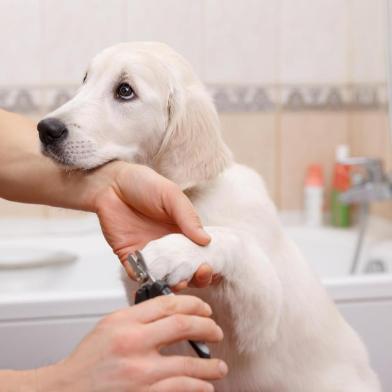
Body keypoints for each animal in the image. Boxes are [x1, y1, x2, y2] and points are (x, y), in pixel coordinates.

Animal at [38, 43, 382, 392]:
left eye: (125, 91)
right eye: (85, 79)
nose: (45, 129)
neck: (193, 195)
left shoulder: (263, 319)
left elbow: (234, 240)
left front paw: (174, 251)